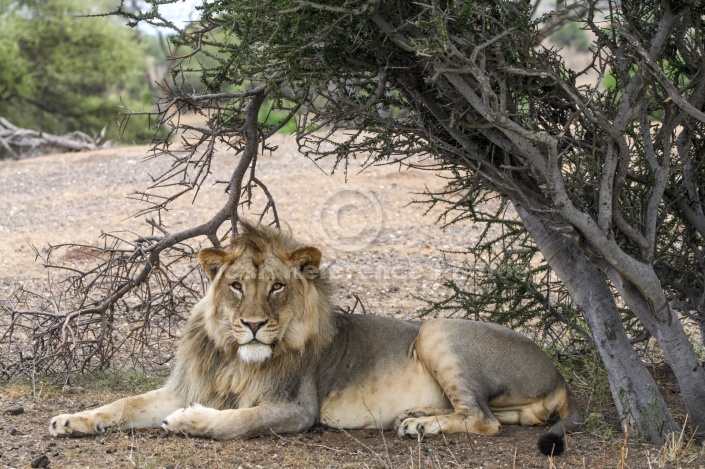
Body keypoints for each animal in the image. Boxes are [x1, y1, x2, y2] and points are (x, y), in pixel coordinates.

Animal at [48, 222, 576, 454]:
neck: (235, 357)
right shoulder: (190, 385)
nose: (254, 324)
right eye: (236, 285)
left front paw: (190, 422)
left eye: (277, 287)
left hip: (437, 329)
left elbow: (237, 421)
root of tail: (559, 375)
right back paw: (416, 416)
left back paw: (421, 426)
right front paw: (72, 420)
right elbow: (125, 403)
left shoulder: (298, 408)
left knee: (483, 419)